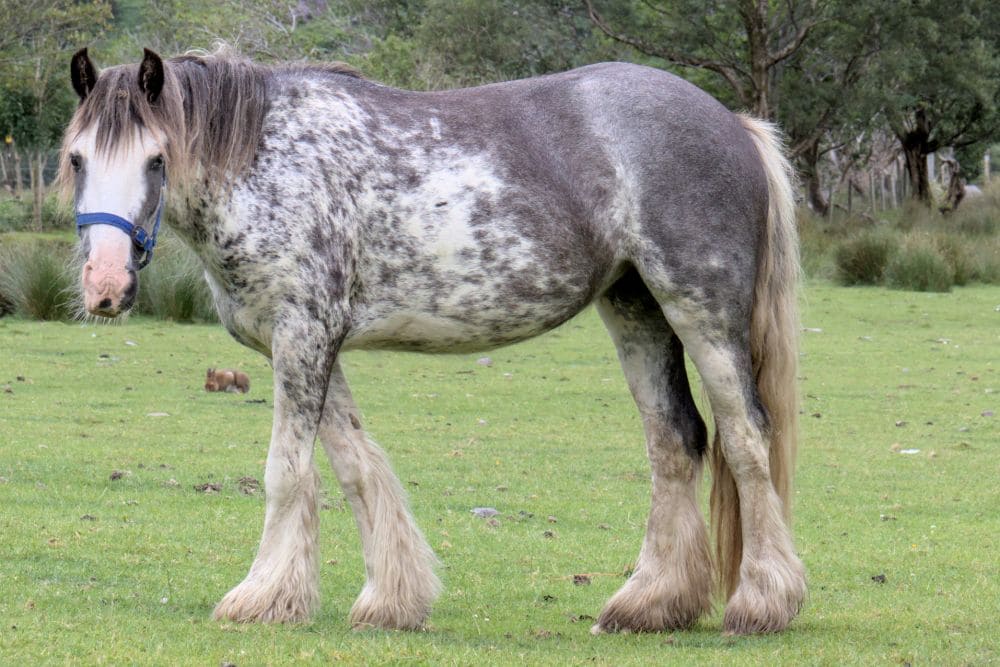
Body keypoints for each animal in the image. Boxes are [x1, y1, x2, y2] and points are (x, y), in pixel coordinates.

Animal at [60, 48, 804, 636]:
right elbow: (355, 464)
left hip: (702, 311)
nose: (104, 286)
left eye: (156, 159)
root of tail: (733, 123)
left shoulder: (305, 335)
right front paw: (391, 599)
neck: (266, 162)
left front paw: (262, 596)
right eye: (76, 158)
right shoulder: (304, 342)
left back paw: (761, 602)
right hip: (636, 310)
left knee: (746, 438)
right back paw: (649, 604)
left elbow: (287, 470)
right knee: (674, 440)